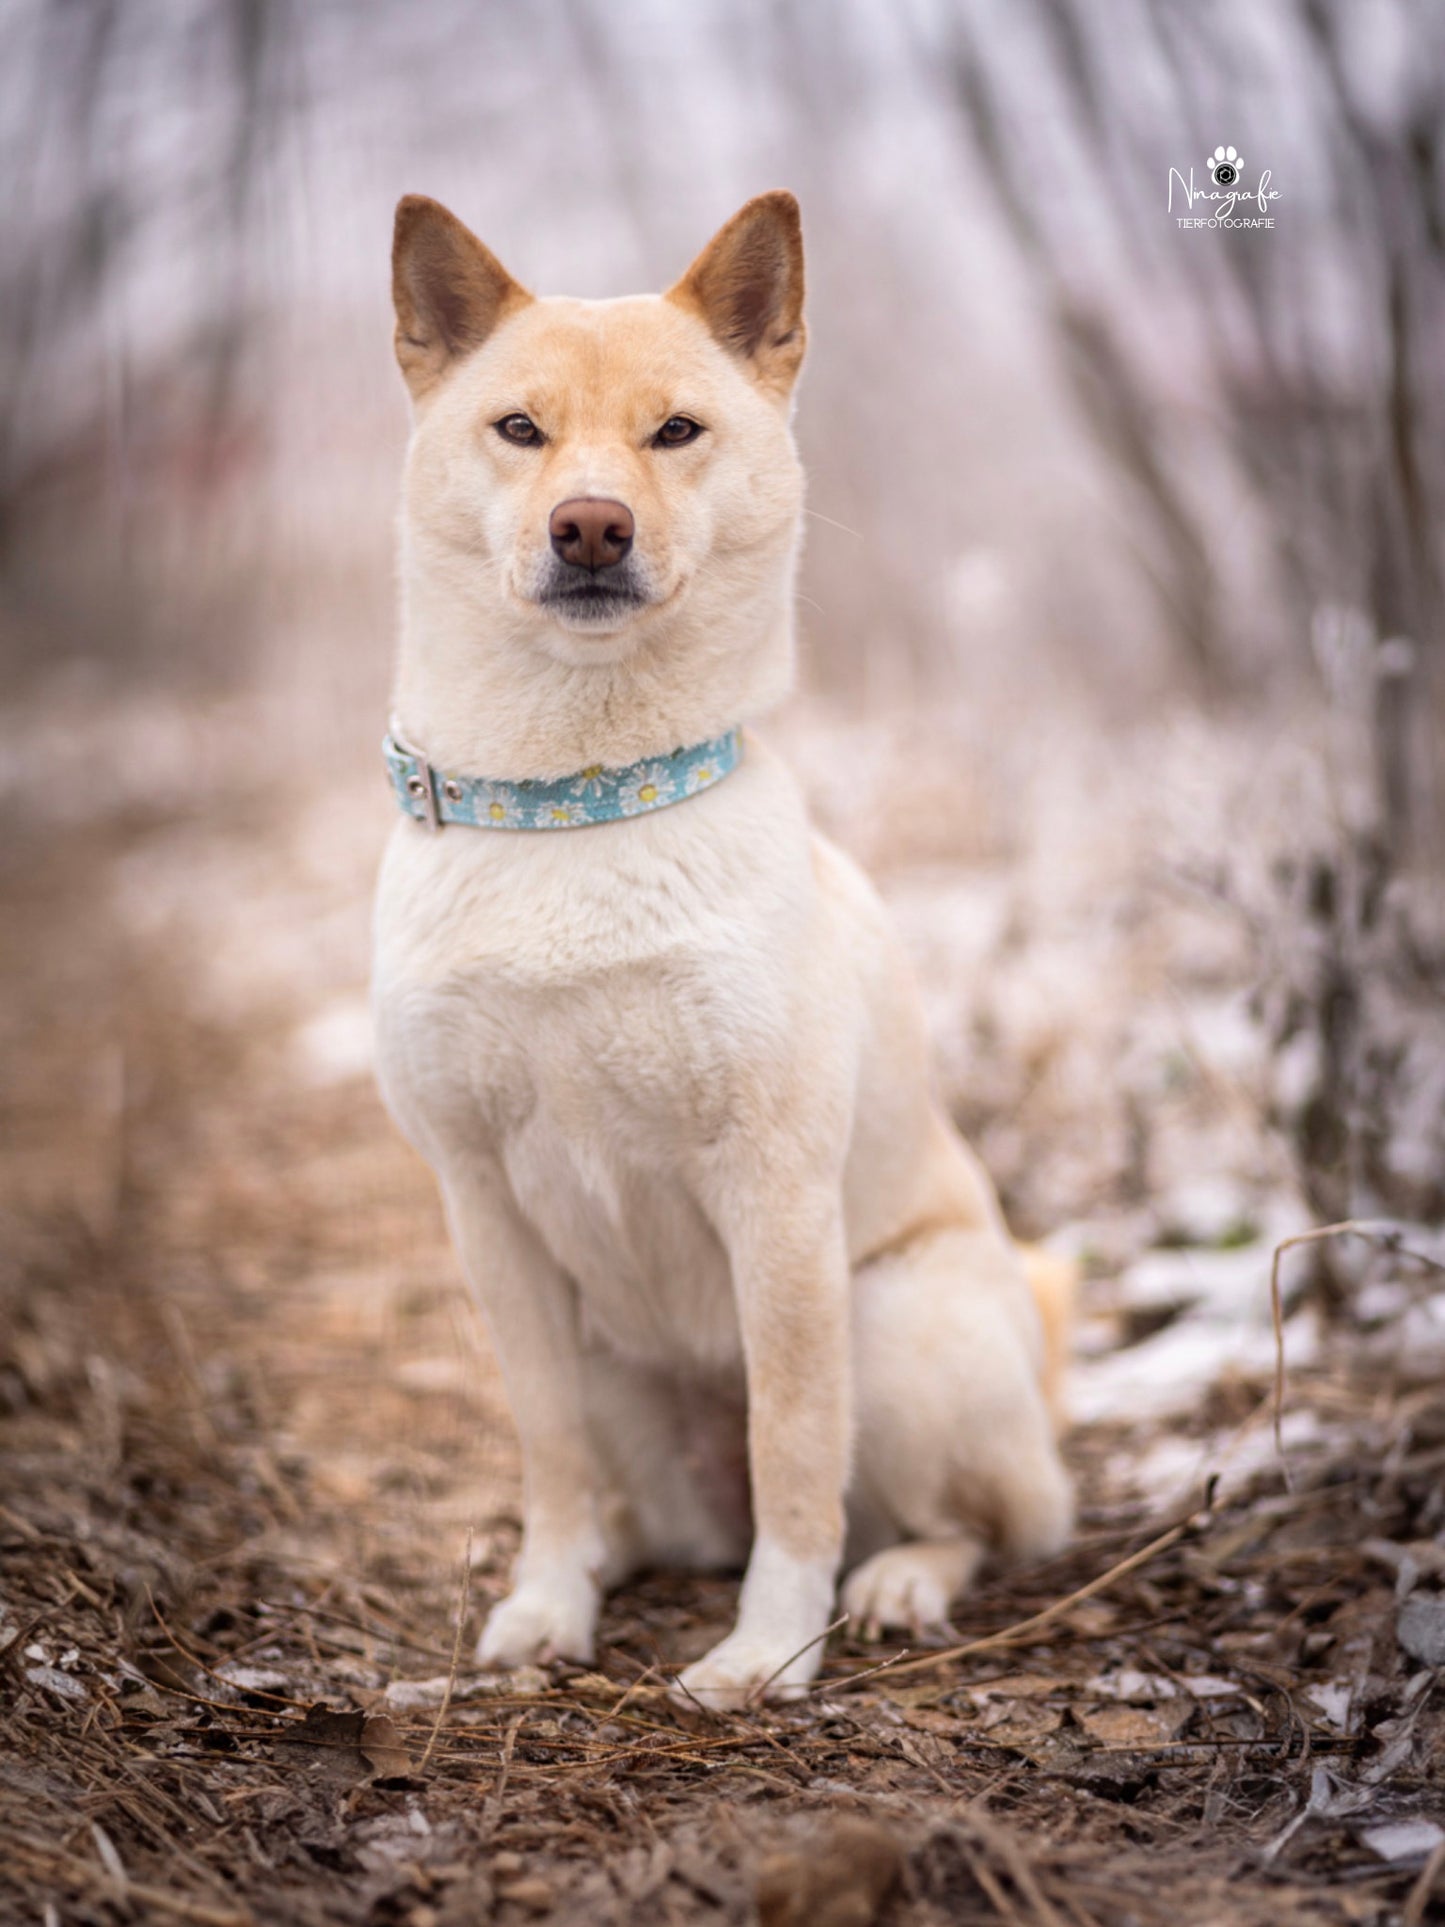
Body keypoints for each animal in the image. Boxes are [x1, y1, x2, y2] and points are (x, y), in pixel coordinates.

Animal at [373, 187, 1078, 1711]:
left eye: (676, 432)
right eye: (518, 428)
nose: (589, 525)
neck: (577, 805)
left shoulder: (775, 1192)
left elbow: (795, 1449)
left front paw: (768, 1648)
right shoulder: (482, 1211)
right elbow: (546, 1451)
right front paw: (546, 1601)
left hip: (899, 1322)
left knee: (978, 1520)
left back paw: (895, 1580)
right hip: (615, 1360)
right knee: (652, 1505)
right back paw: (617, 1557)